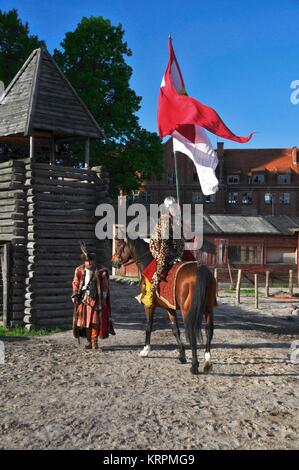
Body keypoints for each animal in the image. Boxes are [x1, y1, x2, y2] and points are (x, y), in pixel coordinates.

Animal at [111, 237, 217, 376]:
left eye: (119, 246)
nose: (113, 262)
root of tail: (201, 271)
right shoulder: (169, 308)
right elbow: (175, 330)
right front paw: (181, 355)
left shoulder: (149, 306)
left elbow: (149, 326)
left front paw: (145, 350)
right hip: (208, 309)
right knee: (209, 331)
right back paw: (207, 362)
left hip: (188, 311)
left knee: (191, 333)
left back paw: (194, 366)